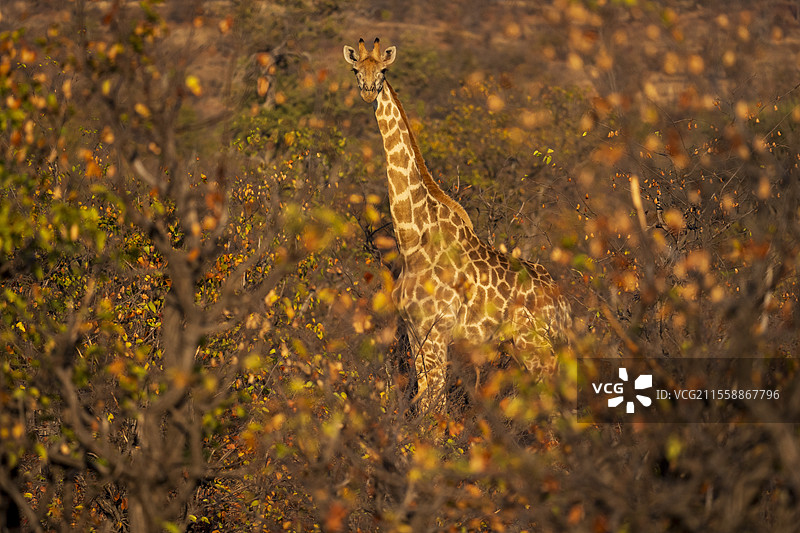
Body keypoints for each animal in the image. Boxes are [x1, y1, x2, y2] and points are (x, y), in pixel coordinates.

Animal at [344, 38, 571, 410]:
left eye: (384, 70)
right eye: (355, 70)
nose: (367, 91)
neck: (412, 238)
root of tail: (563, 303)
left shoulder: (437, 330)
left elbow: (433, 404)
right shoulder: (415, 330)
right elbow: (425, 397)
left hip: (534, 341)